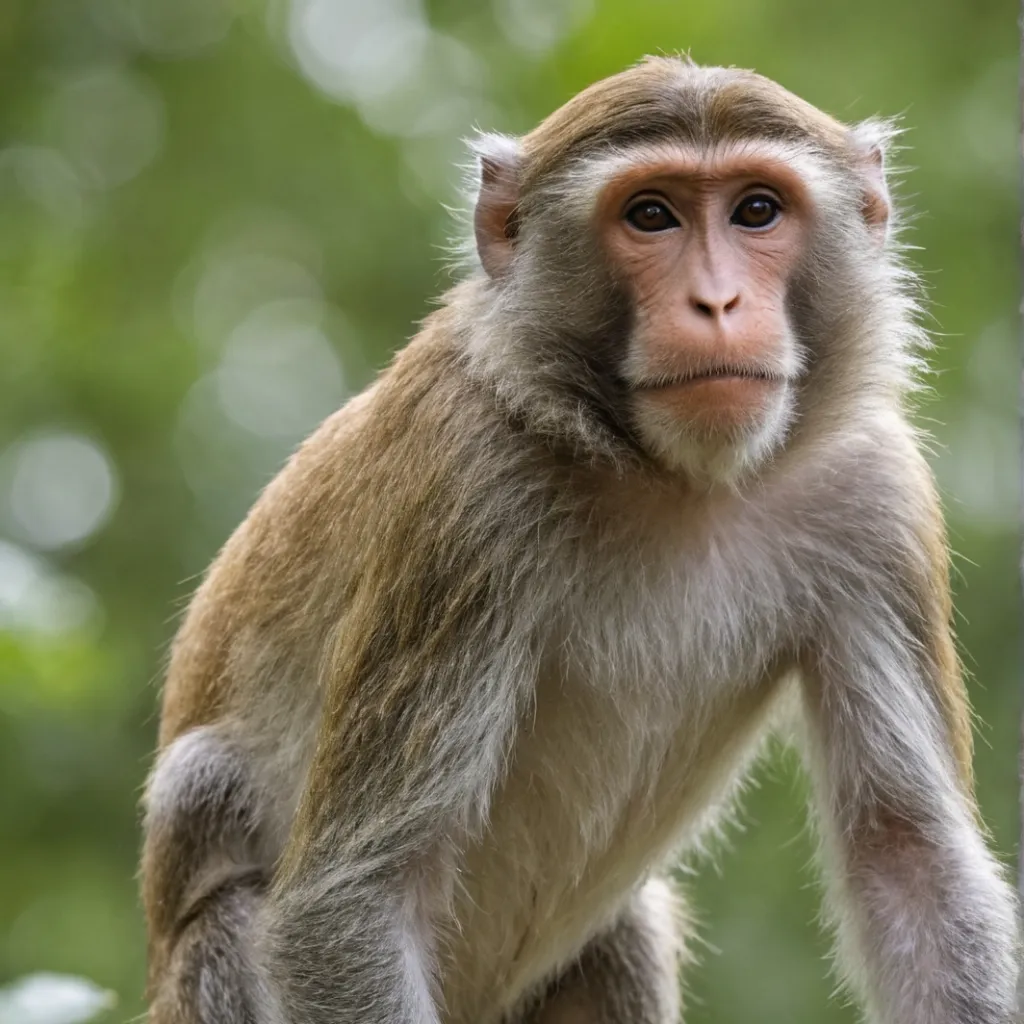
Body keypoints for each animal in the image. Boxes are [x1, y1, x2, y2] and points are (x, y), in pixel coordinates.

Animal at [140, 56, 1022, 1024]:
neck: (675, 481)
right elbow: (355, 901)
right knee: (217, 848)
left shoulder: (875, 495)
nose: (717, 302)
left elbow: (912, 861)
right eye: (651, 214)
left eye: (757, 209)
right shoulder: (465, 495)